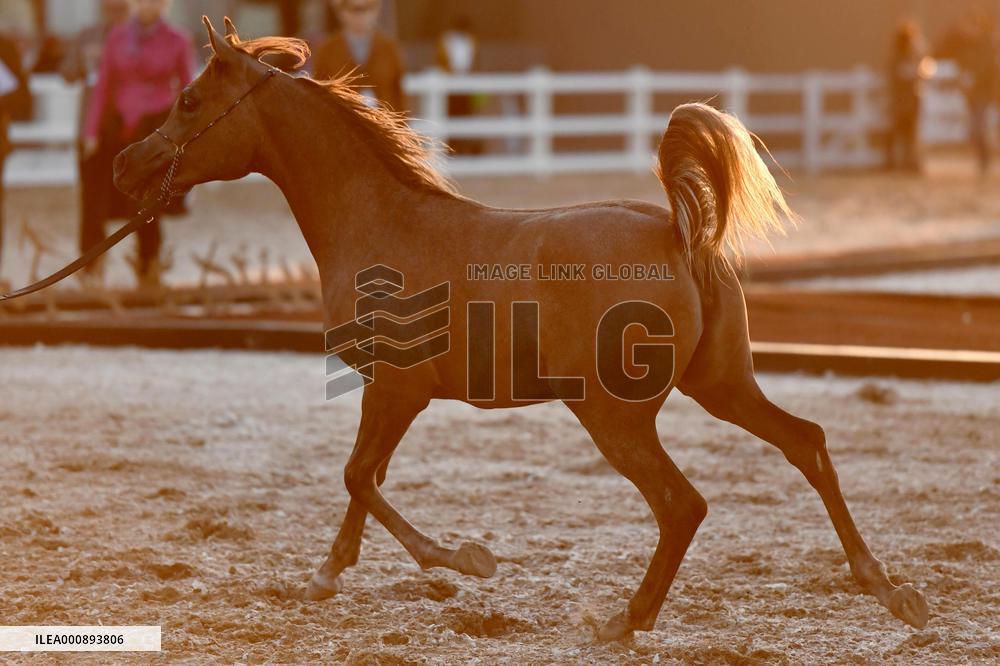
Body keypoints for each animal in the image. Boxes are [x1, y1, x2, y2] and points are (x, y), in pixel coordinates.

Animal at [113, 17, 928, 641]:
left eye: (188, 99)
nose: (126, 165)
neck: (382, 221)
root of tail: (677, 230)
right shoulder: (393, 396)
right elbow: (366, 479)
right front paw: (328, 575)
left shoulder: (397, 390)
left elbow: (358, 476)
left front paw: (461, 561)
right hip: (722, 385)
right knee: (806, 444)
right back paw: (886, 588)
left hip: (613, 415)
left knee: (683, 505)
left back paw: (625, 621)